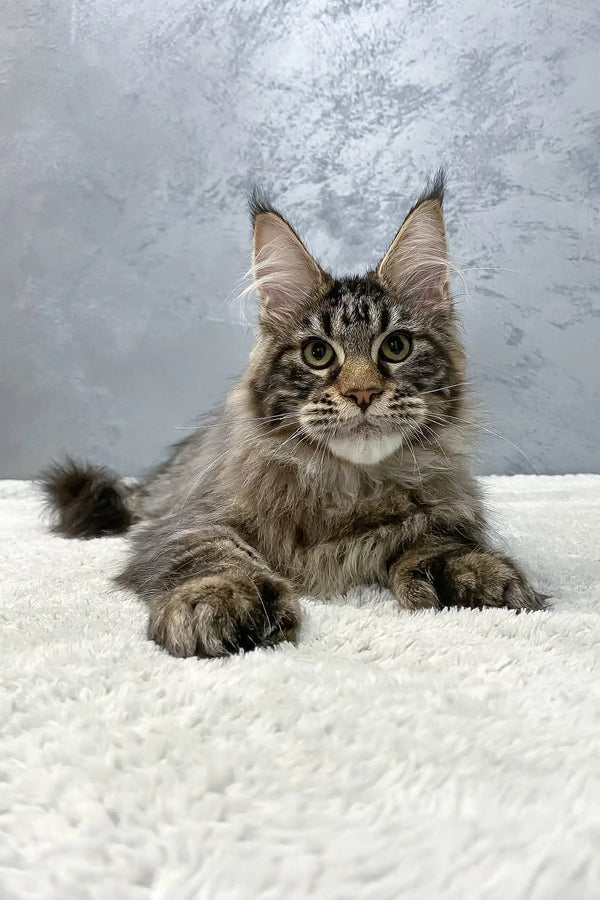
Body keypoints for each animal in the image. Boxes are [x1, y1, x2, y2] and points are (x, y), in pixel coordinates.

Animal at [43, 172, 544, 656]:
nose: (363, 392)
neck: (350, 487)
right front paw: (223, 597)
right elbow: (212, 555)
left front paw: (475, 575)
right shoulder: (189, 522)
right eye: (317, 354)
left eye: (396, 347)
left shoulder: (448, 512)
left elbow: (438, 542)